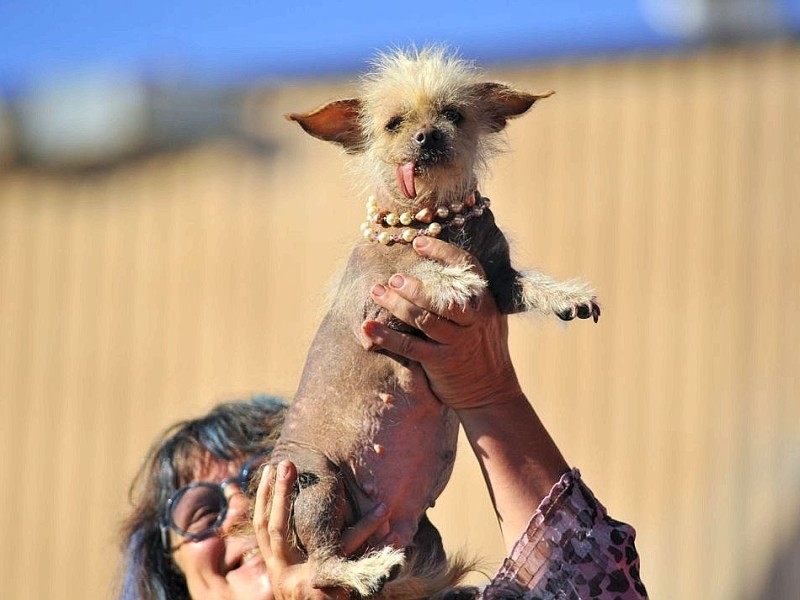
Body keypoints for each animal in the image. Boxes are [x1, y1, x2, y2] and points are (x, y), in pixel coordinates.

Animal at [268, 48, 600, 600]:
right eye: (394, 124)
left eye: (454, 116)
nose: (428, 136)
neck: (434, 217)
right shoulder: (373, 306)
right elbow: (415, 271)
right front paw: (454, 277)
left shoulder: (502, 280)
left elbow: (524, 281)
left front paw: (567, 295)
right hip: (315, 480)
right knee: (320, 561)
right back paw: (365, 570)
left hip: (424, 534)